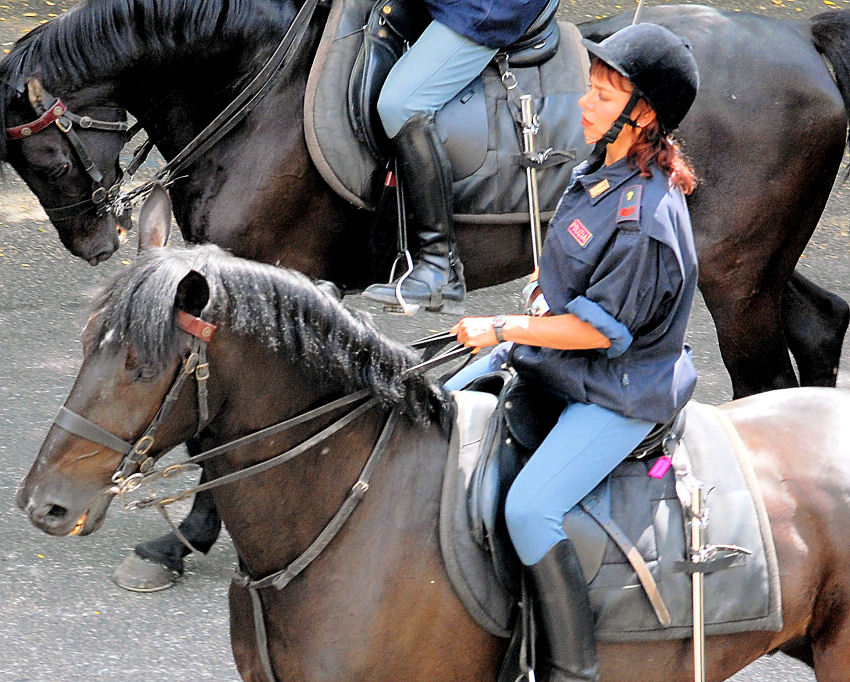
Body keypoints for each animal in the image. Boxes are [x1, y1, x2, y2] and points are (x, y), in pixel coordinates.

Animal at [4, 0, 848, 584]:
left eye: (39, 158)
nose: (93, 242)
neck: (253, 87)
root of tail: (802, 42)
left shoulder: (252, 271)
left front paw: (181, 540)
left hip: (735, 278)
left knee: (762, 379)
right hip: (747, 265)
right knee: (818, 325)